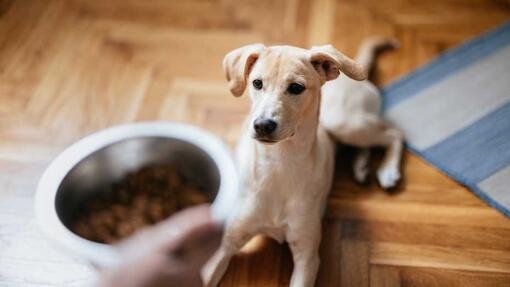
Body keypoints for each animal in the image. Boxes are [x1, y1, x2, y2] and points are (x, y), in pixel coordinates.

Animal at [202, 38, 402, 287]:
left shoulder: (307, 256)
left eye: (296, 88)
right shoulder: (225, 243)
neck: (279, 163)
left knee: (393, 133)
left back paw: (388, 171)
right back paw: (362, 167)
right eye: (257, 83)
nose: (262, 125)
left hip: (344, 123)